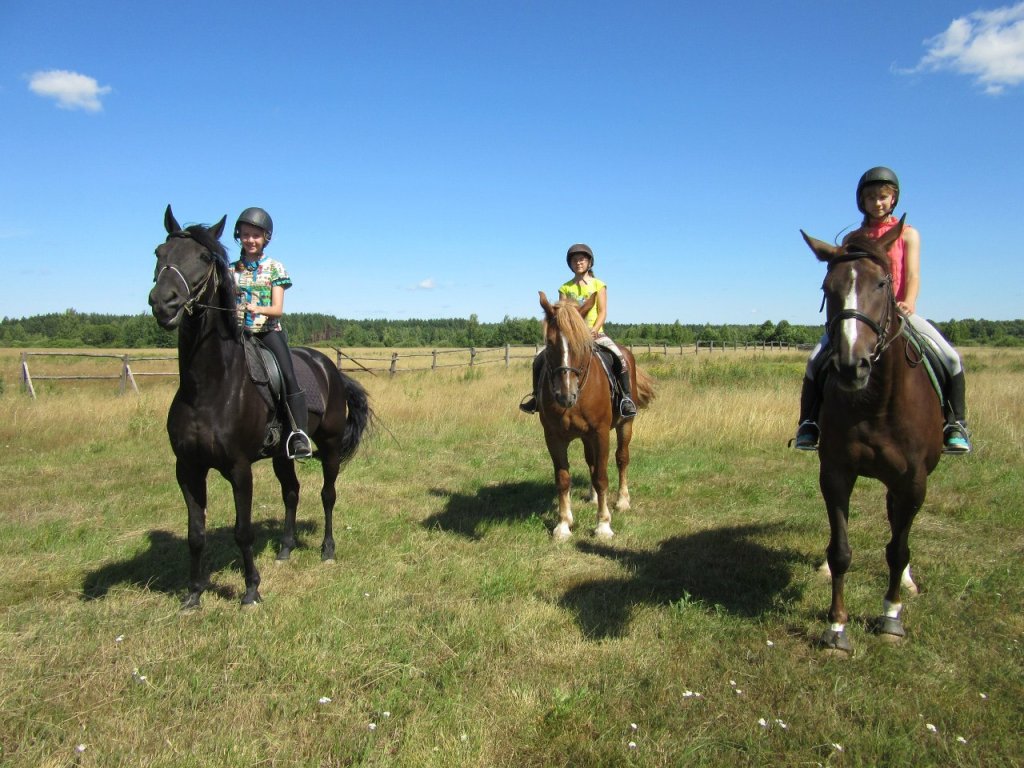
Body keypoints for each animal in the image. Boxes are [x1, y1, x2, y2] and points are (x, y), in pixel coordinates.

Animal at [149, 207, 374, 610]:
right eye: (159, 252)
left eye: (204, 257)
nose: (164, 303)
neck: (208, 388)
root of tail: (328, 366)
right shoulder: (187, 468)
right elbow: (195, 533)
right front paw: (194, 593)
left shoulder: (240, 470)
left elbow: (243, 532)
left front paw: (251, 590)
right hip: (282, 454)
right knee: (292, 492)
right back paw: (285, 549)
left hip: (330, 446)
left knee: (327, 495)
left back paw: (327, 549)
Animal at [536, 292, 655, 540]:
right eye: (549, 343)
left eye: (583, 345)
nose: (566, 396)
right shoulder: (553, 437)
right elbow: (563, 479)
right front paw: (563, 524)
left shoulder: (600, 433)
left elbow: (602, 477)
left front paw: (603, 525)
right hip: (585, 436)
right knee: (591, 462)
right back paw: (592, 498)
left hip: (625, 425)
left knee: (621, 459)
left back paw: (622, 501)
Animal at [798, 218, 942, 655]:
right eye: (828, 287)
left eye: (882, 283)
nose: (850, 365)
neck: (875, 403)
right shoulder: (835, 473)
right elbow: (841, 550)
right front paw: (836, 628)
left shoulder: (913, 481)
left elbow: (898, 549)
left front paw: (891, 616)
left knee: (898, 525)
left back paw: (906, 583)